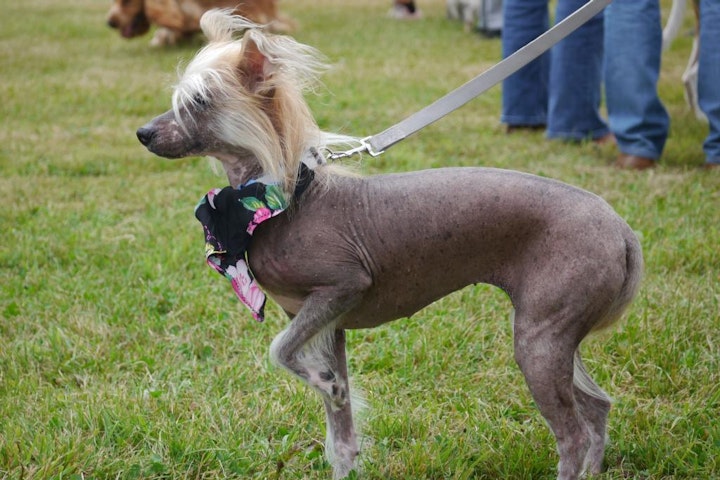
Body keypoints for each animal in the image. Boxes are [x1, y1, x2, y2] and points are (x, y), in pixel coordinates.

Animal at [138, 9, 644, 478]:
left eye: (199, 101)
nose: (143, 133)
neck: (279, 201)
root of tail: (621, 228)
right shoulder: (326, 325)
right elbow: (340, 432)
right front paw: (332, 402)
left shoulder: (341, 289)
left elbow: (280, 350)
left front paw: (322, 381)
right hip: (556, 336)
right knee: (598, 407)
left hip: (539, 340)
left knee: (573, 434)